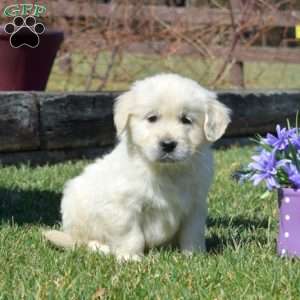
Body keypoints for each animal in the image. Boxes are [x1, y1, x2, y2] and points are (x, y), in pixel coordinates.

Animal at [43, 73, 231, 260]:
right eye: (152, 118)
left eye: (186, 120)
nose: (168, 144)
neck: (165, 170)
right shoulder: (123, 206)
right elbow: (131, 235)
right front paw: (130, 258)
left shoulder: (195, 205)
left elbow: (192, 233)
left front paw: (194, 255)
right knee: (82, 242)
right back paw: (101, 248)